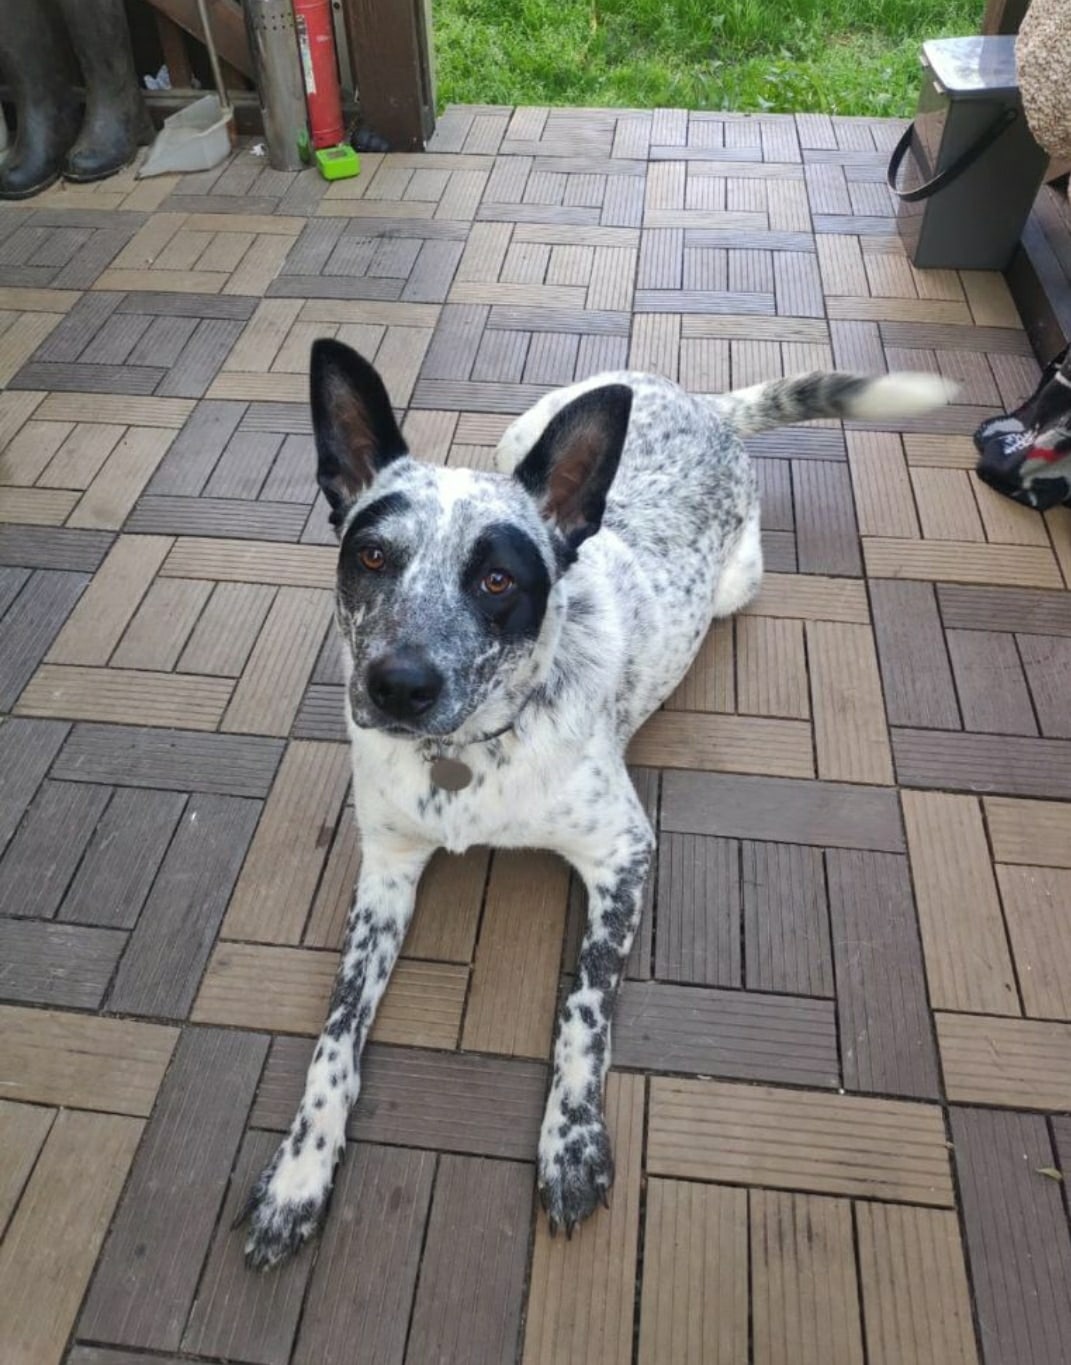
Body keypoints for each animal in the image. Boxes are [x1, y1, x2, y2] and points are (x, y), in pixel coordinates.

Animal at [238, 341, 949, 1266]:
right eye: (371, 558)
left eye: (496, 579)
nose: (395, 686)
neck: (468, 755)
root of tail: (704, 404)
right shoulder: (386, 869)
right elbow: (335, 1031)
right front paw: (298, 1171)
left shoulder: (623, 853)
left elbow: (585, 1006)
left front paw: (571, 1142)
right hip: (519, 434)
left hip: (737, 585)